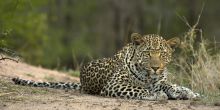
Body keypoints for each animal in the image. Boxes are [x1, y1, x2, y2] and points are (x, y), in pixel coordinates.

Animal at [12, 32, 201, 100]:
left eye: (162, 54)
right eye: (147, 53)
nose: (156, 68)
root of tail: (81, 82)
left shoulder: (159, 81)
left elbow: (168, 85)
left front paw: (181, 92)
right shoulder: (115, 85)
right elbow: (140, 89)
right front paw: (158, 95)